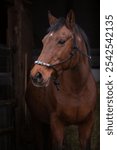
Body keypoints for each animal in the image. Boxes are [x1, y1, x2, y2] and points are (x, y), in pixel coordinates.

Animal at [25, 9, 97, 149]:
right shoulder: (56, 125)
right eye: (43, 41)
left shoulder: (87, 125)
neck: (77, 89)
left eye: (62, 41)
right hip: (37, 121)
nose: (36, 75)